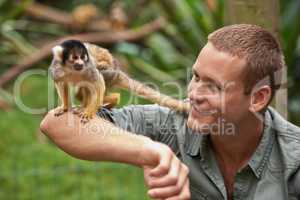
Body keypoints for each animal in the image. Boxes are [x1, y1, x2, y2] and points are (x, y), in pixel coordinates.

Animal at [50, 39, 189, 123]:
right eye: (75, 57)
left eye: (83, 57)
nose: (81, 63)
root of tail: (118, 71)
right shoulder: (57, 69)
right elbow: (61, 83)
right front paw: (64, 107)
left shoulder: (88, 67)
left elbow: (97, 83)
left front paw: (89, 112)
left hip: (110, 75)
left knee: (97, 79)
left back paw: (109, 100)